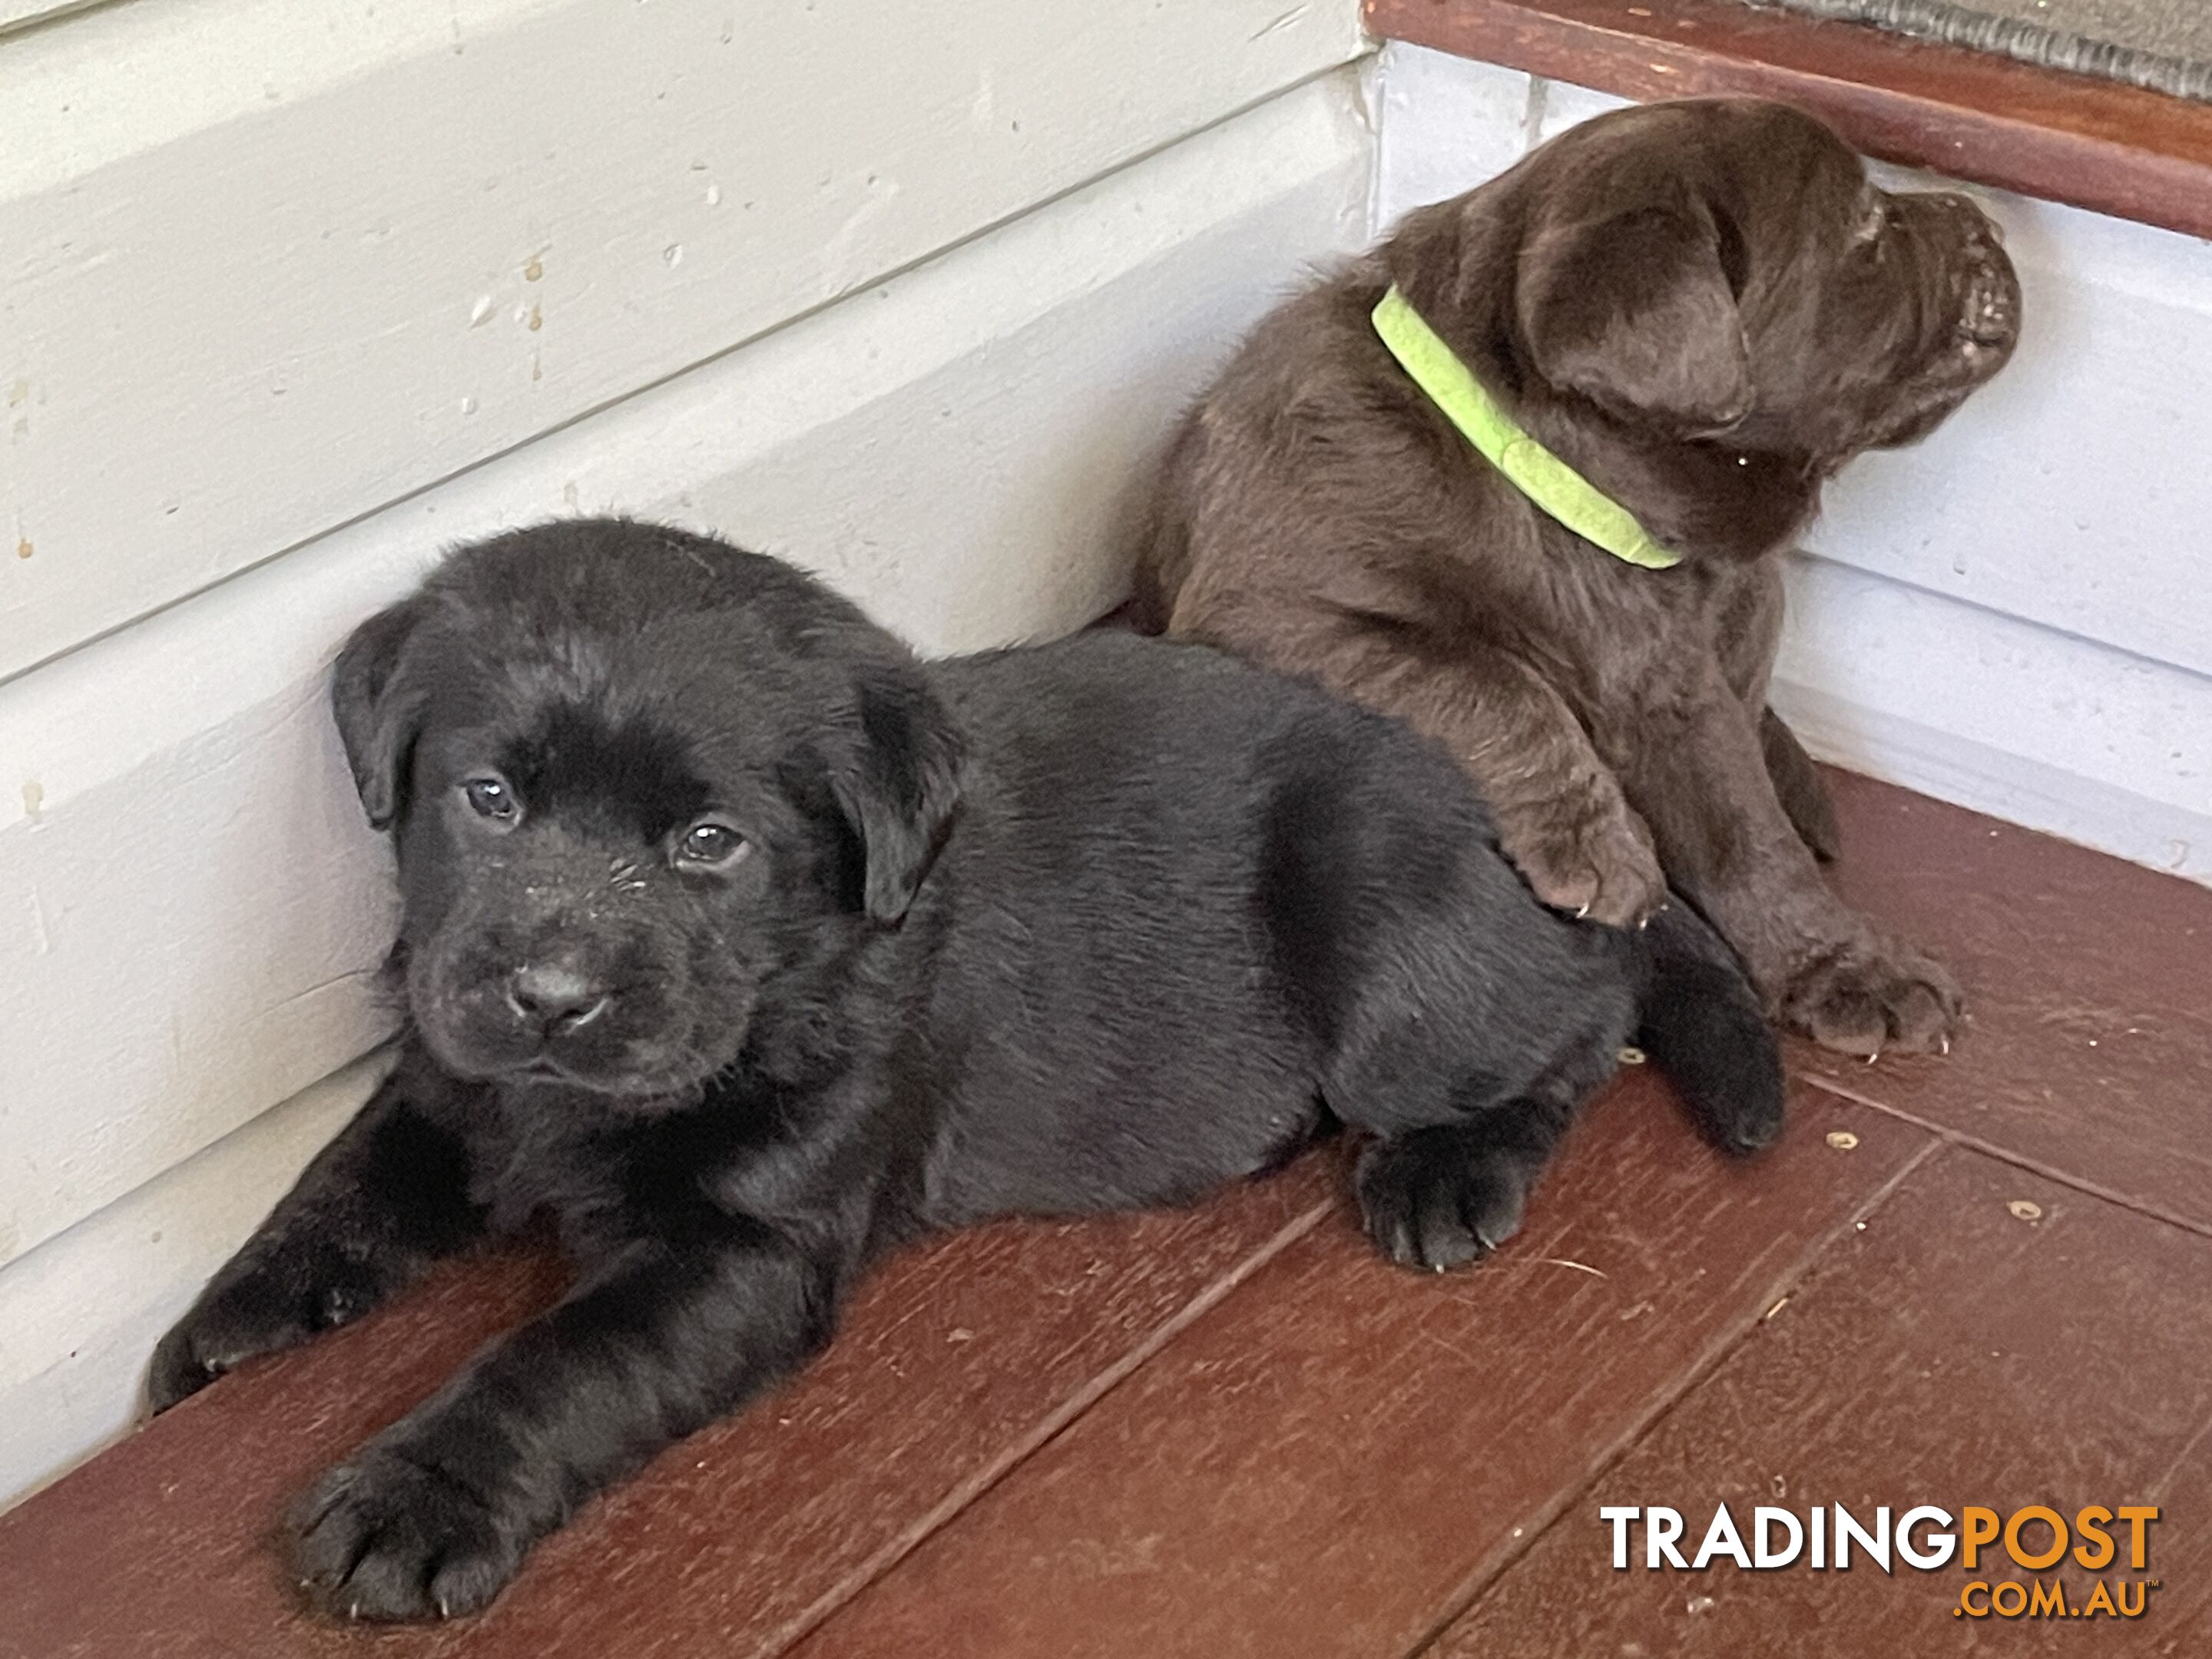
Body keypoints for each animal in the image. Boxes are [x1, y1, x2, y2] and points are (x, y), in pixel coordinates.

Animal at [151, 519, 1778, 1628]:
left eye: (709, 844)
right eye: (486, 797)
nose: (551, 997)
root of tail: (1503, 817)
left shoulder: (744, 1248)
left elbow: (562, 1359)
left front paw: (417, 1495)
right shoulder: (455, 1069)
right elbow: (351, 1174)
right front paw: (230, 1327)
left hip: (1388, 947)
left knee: (1583, 1013)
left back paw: (1452, 1168)